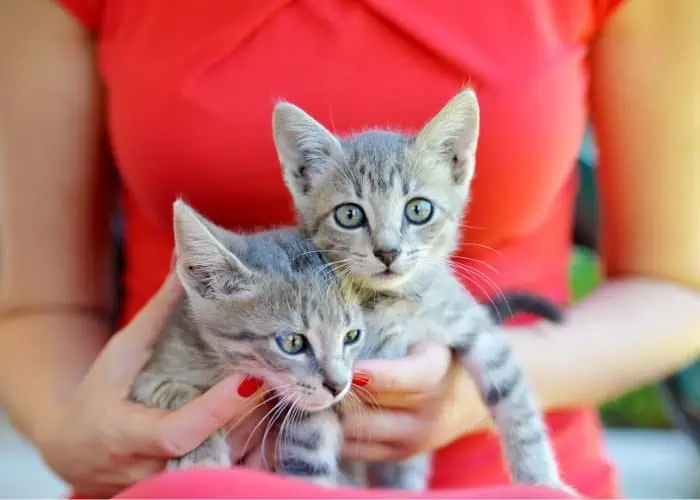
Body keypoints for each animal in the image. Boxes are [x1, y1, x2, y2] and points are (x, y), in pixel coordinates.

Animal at [129, 200, 366, 484]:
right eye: (292, 342)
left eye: (352, 336)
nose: (339, 386)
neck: (218, 365)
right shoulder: (146, 378)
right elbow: (178, 392)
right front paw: (201, 453)